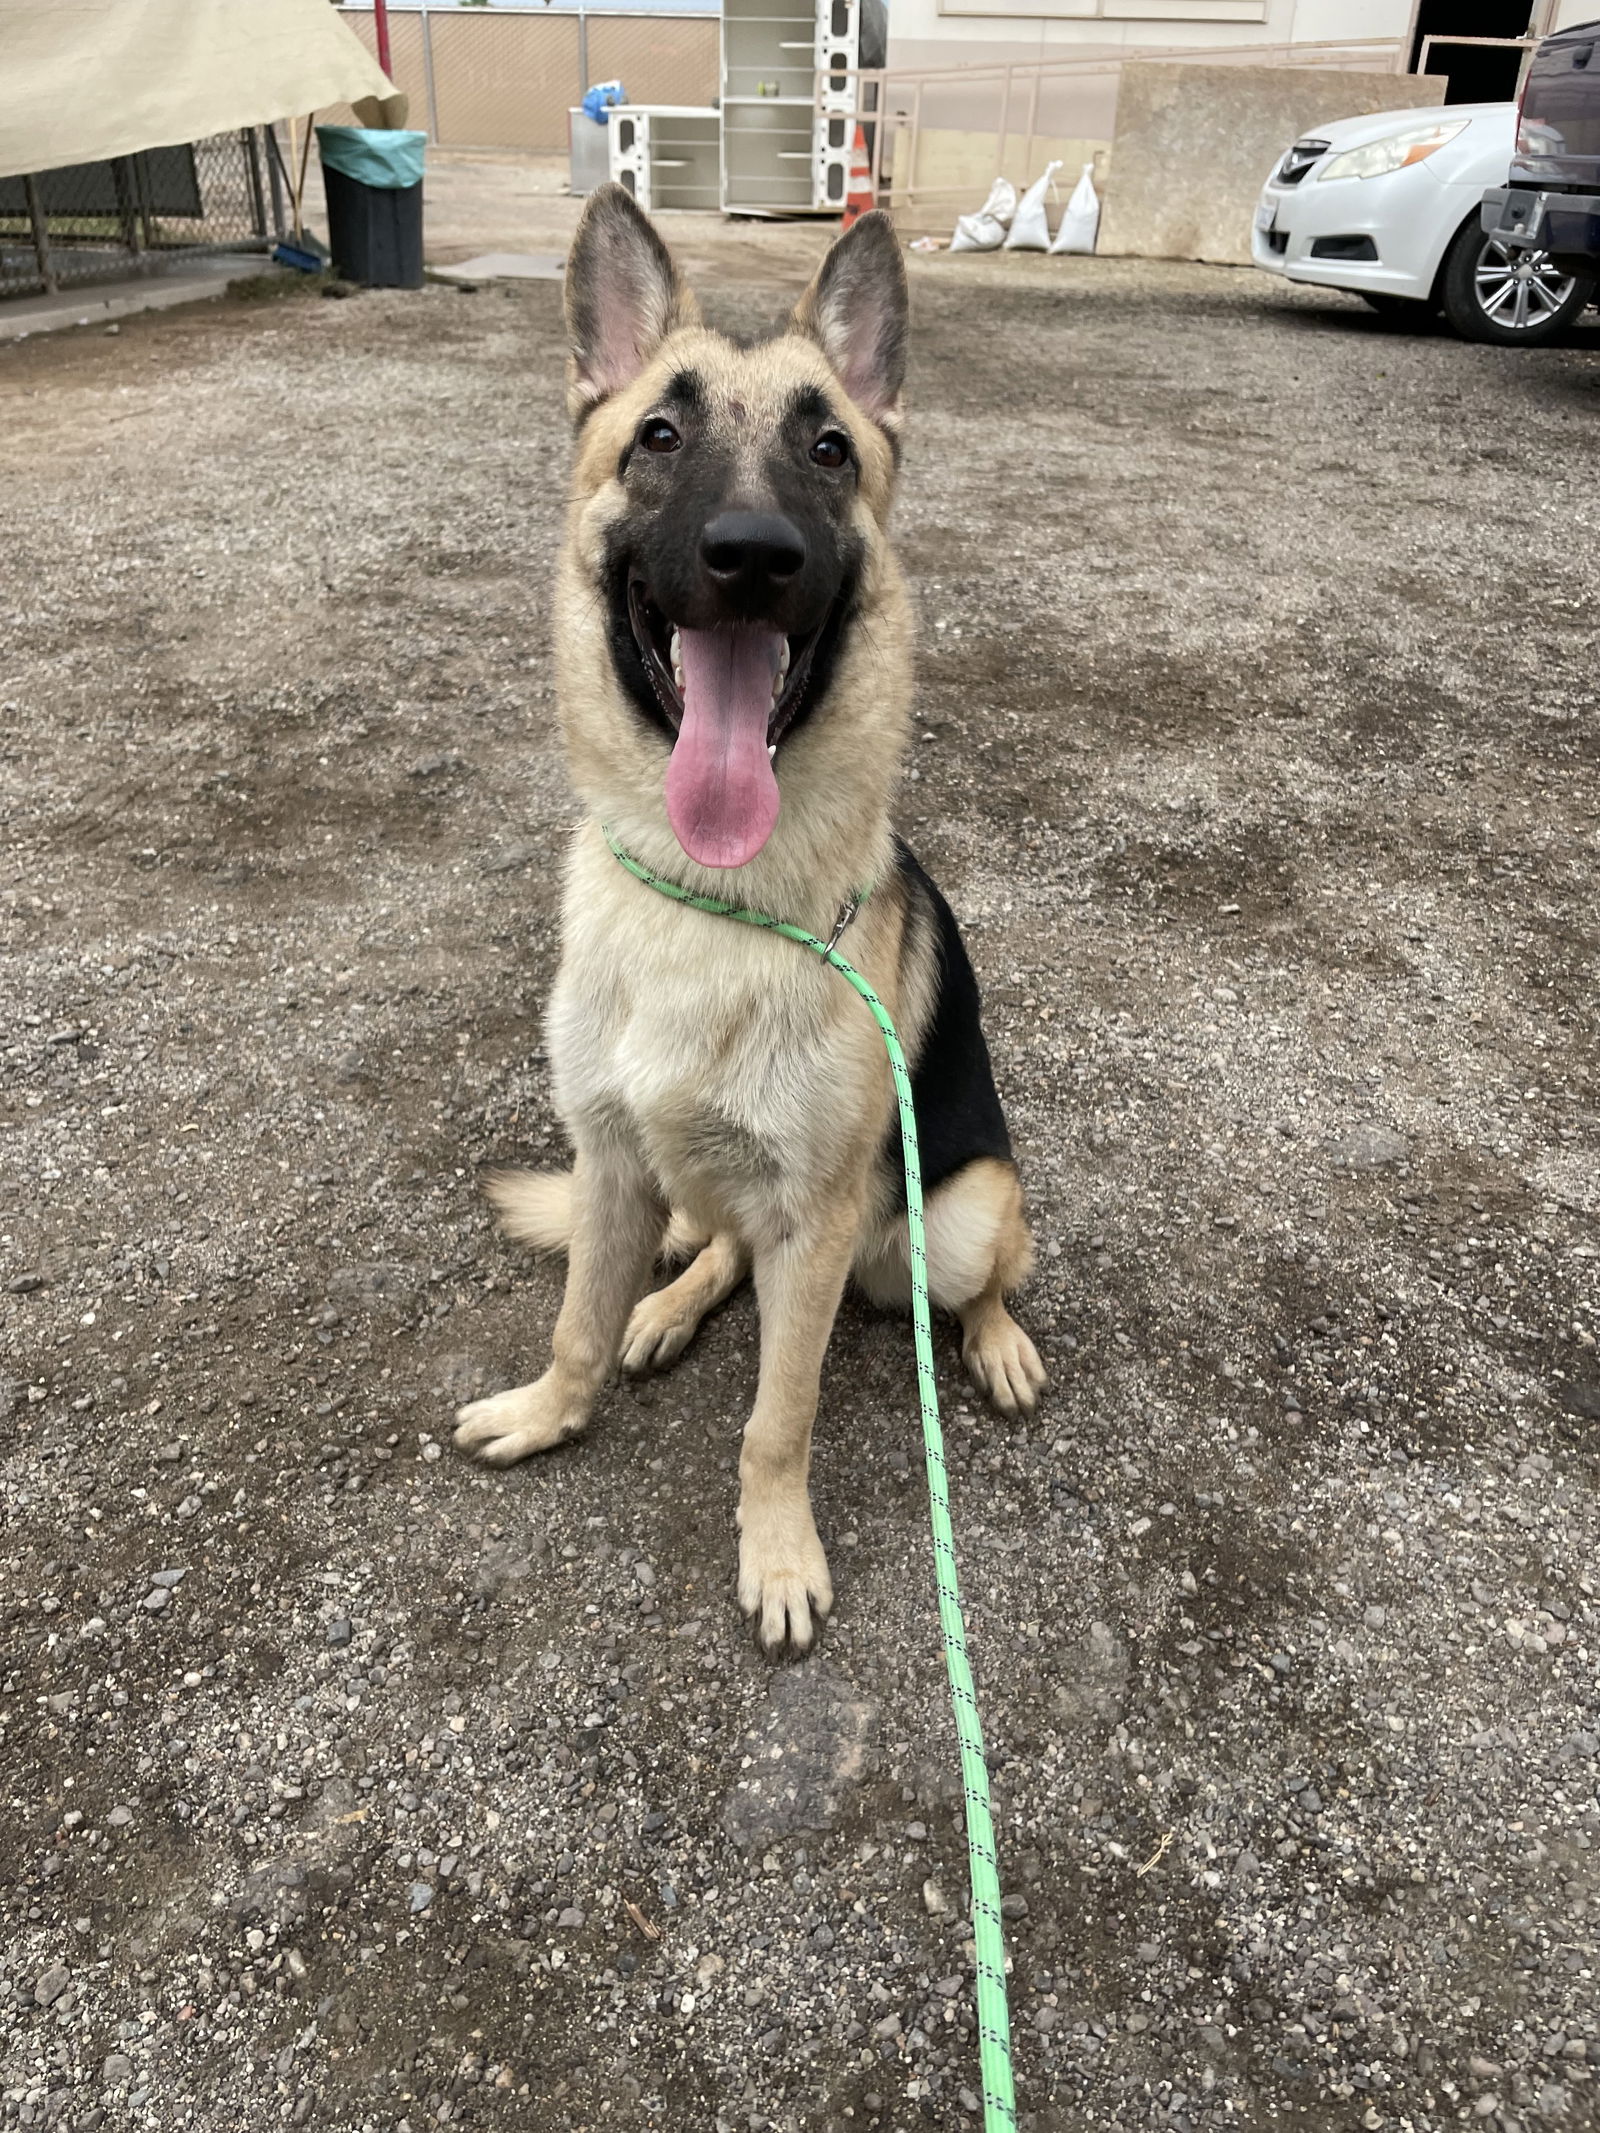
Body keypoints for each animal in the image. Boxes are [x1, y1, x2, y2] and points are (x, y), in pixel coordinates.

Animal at [456, 187, 1045, 1646]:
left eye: (829, 448)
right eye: (657, 437)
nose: (752, 557)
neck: (707, 900)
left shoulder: (817, 1226)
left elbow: (779, 1415)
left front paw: (776, 1552)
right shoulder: (613, 1164)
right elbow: (574, 1323)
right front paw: (554, 1408)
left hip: (957, 1213)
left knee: (980, 1277)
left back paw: (997, 1340)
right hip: (692, 1183)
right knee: (713, 1245)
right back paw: (669, 1304)